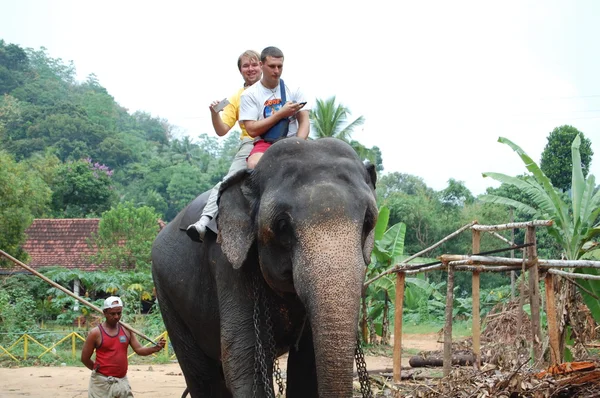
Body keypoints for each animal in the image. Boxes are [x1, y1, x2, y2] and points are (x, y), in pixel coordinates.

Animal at [151, 138, 376, 398]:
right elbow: (245, 360)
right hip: (165, 293)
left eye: (368, 222)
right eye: (282, 226)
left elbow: (306, 365)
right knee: (202, 374)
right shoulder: (228, 266)